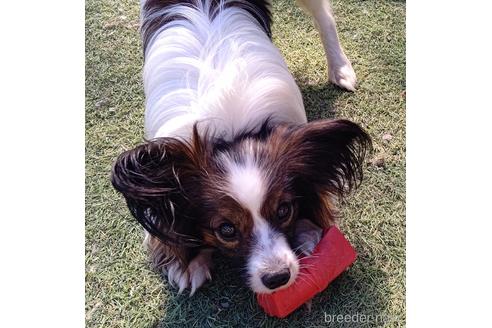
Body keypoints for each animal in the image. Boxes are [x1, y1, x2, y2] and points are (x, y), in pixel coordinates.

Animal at [111, 0, 370, 296]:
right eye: (226, 230)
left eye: (284, 211)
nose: (277, 277)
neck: (229, 133)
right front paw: (189, 263)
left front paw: (308, 232)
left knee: (324, 16)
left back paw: (340, 69)